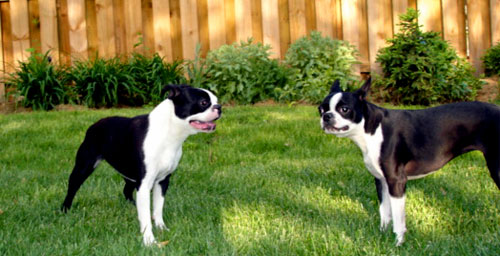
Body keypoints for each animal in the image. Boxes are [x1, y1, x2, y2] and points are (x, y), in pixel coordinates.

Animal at [61, 84, 221, 246]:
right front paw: (149, 240)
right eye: (203, 102)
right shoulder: (144, 183)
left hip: (130, 176)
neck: (169, 133)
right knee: (73, 187)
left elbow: (158, 208)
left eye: (216, 100)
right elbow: (145, 217)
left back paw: (132, 205)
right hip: (84, 166)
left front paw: (161, 228)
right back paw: (65, 209)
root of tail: (94, 125)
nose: (219, 107)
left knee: (126, 190)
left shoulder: (162, 181)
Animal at [320, 78, 500, 246]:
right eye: (320, 109)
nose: (326, 116)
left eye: (344, 109)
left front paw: (398, 244)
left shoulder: (396, 181)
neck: (371, 129)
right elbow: (384, 212)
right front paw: (381, 236)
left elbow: (398, 218)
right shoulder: (381, 181)